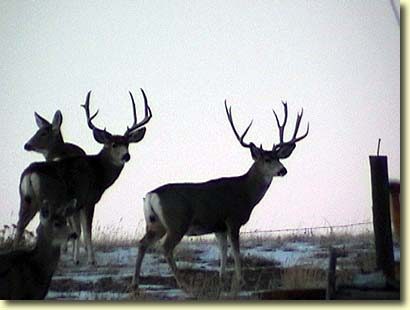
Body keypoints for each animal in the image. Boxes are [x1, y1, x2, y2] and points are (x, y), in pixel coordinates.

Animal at [14, 88, 153, 266]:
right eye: (113, 144)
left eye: (127, 144)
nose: (126, 156)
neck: (98, 171)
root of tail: (30, 174)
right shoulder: (88, 200)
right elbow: (86, 231)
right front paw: (91, 260)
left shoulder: (76, 204)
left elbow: (77, 231)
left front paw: (76, 258)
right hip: (47, 199)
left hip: (25, 199)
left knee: (19, 225)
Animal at [131, 100, 308, 290]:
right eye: (267, 159)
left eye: (279, 158)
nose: (283, 170)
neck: (246, 193)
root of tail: (151, 195)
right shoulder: (233, 220)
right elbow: (236, 251)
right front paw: (240, 280)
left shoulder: (219, 227)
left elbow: (223, 250)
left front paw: (222, 277)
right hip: (177, 222)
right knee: (166, 247)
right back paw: (182, 283)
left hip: (155, 223)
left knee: (142, 243)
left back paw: (135, 284)